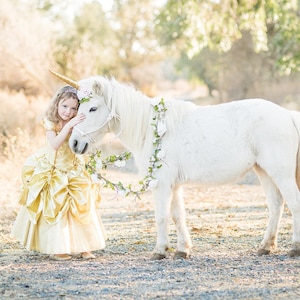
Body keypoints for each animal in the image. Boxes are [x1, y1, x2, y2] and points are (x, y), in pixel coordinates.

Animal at [49, 71, 300, 260]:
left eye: (92, 109)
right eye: (78, 107)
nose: (74, 143)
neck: (151, 128)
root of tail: (287, 114)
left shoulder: (161, 184)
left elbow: (161, 215)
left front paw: (160, 251)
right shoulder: (175, 185)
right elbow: (178, 216)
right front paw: (182, 250)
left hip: (281, 173)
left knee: (293, 203)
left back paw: (294, 248)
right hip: (264, 171)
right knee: (276, 205)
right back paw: (265, 247)